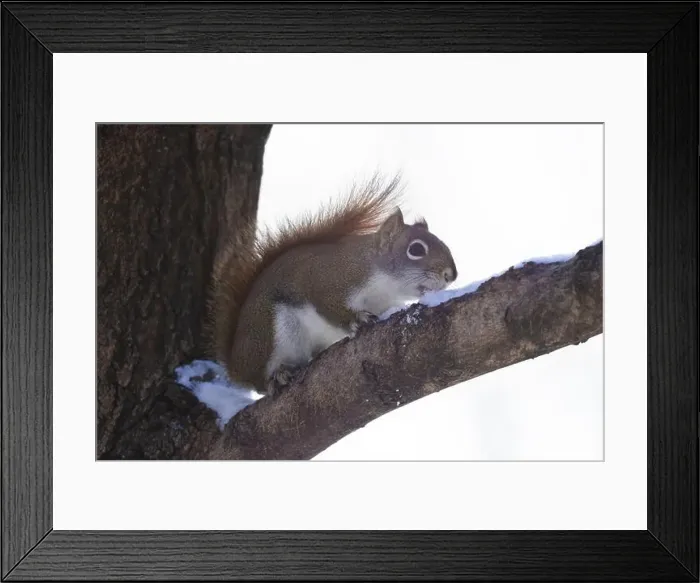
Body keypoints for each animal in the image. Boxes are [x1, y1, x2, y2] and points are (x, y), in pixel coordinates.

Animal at [206, 174, 458, 396]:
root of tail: (235, 364)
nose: (451, 275)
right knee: (258, 380)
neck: (383, 284)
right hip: (269, 332)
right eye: (416, 249)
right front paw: (358, 319)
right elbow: (330, 307)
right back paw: (276, 377)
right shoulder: (329, 281)